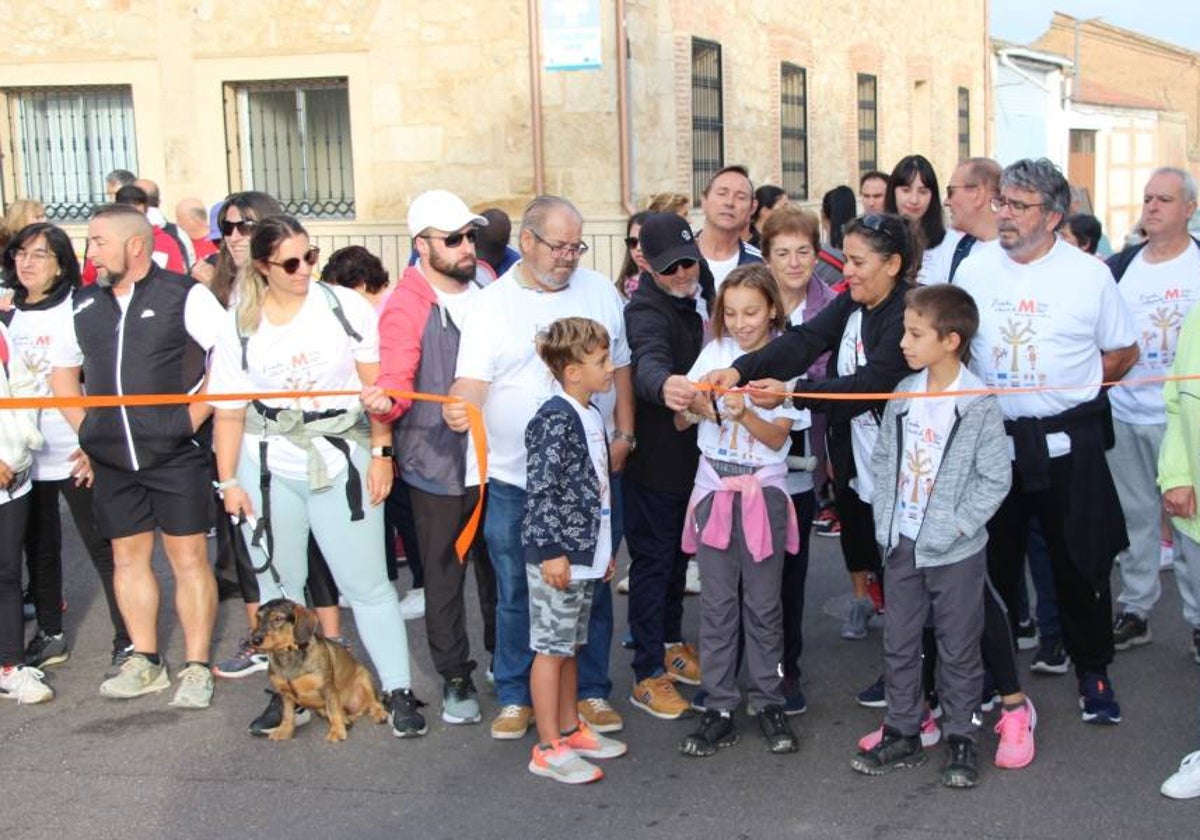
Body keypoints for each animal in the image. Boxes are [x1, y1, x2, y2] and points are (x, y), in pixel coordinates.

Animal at [250, 597, 386, 739]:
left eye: (277, 618)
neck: (288, 654)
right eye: (258, 618)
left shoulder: (327, 688)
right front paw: (284, 730)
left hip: (364, 678)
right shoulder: (284, 693)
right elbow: (287, 714)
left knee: (374, 702)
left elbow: (333, 710)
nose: (254, 640)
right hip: (321, 709)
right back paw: (346, 720)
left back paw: (379, 713)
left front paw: (337, 731)